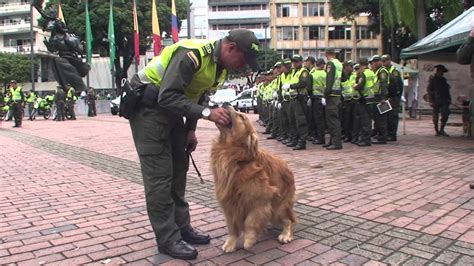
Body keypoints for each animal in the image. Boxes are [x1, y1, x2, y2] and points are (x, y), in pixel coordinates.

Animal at [211, 105, 296, 251]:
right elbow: (232, 227)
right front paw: (230, 243)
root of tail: (288, 168)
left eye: (242, 116)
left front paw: (249, 239)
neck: (235, 158)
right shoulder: (229, 203)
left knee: (289, 220)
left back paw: (286, 235)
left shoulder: (260, 200)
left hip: (279, 207)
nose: (227, 103)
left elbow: (249, 222)